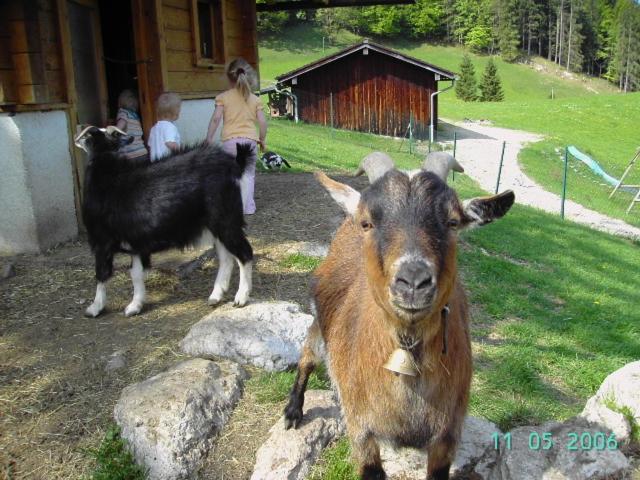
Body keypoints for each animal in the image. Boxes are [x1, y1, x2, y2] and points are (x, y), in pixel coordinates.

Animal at [75, 125, 252, 316]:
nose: (76, 140)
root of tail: (234, 164)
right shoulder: (137, 243)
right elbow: (135, 273)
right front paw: (134, 306)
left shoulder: (101, 240)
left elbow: (101, 273)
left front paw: (94, 308)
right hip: (215, 226)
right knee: (226, 257)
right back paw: (215, 296)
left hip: (226, 220)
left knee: (244, 253)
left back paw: (241, 298)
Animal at [284, 166, 516, 480]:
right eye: (368, 222)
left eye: (453, 222)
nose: (414, 281)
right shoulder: (361, 429)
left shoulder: (447, 435)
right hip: (321, 321)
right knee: (307, 356)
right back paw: (293, 411)